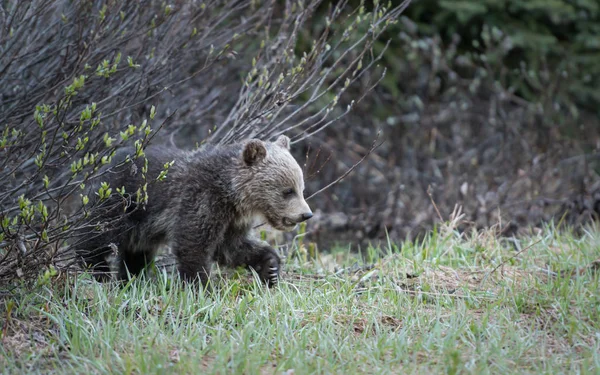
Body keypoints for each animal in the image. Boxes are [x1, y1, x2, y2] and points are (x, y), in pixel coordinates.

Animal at [72, 135, 312, 288]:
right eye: (287, 191)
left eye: (301, 188)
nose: (305, 214)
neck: (232, 192)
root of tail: (106, 161)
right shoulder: (200, 199)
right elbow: (193, 244)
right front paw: (200, 287)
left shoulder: (232, 220)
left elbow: (232, 248)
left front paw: (270, 267)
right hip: (119, 201)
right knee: (97, 236)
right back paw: (98, 270)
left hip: (140, 227)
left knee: (136, 253)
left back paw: (132, 278)